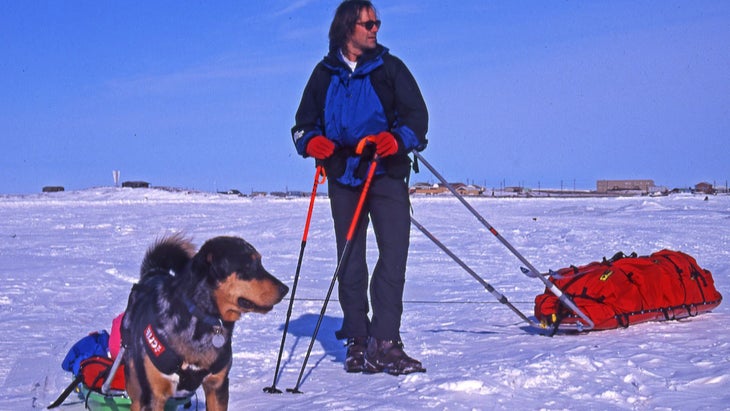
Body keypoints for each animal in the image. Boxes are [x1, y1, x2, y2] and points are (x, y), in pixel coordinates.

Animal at [120, 235, 288, 411]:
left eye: (260, 263)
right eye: (248, 265)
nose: (285, 289)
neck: (201, 317)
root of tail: (154, 272)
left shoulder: (217, 385)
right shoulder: (154, 395)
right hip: (137, 390)